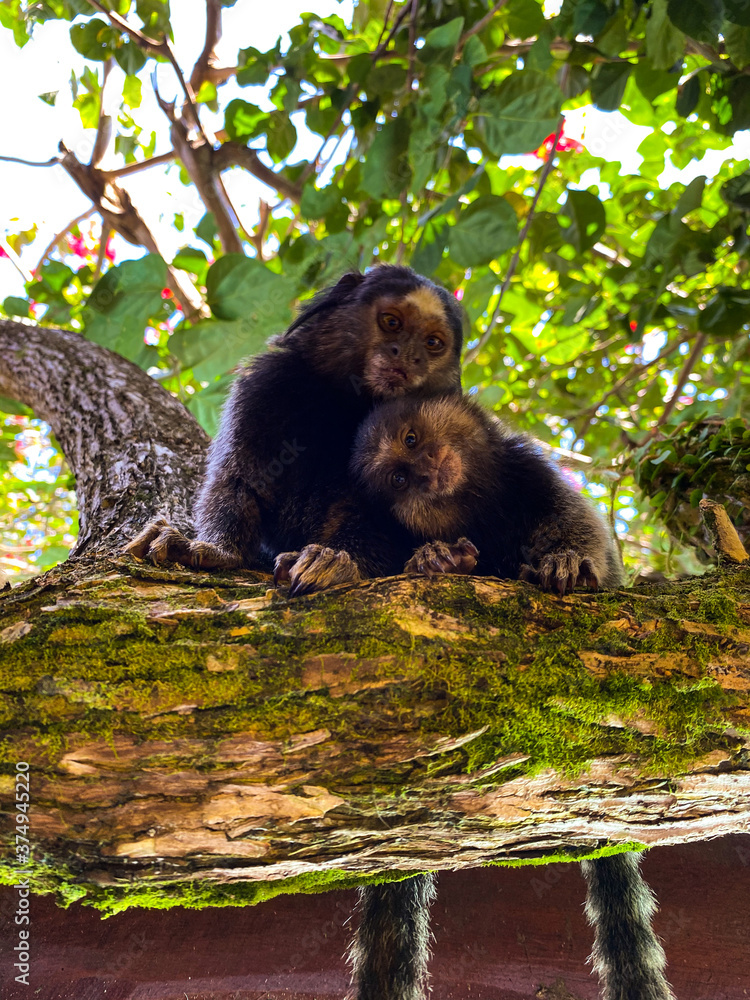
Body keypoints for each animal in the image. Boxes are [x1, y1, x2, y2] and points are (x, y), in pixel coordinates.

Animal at [124, 265, 465, 590]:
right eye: (392, 322)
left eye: (432, 343)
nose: (409, 356)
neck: (344, 401)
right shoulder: (265, 385)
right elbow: (239, 479)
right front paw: (220, 550)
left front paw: (336, 562)